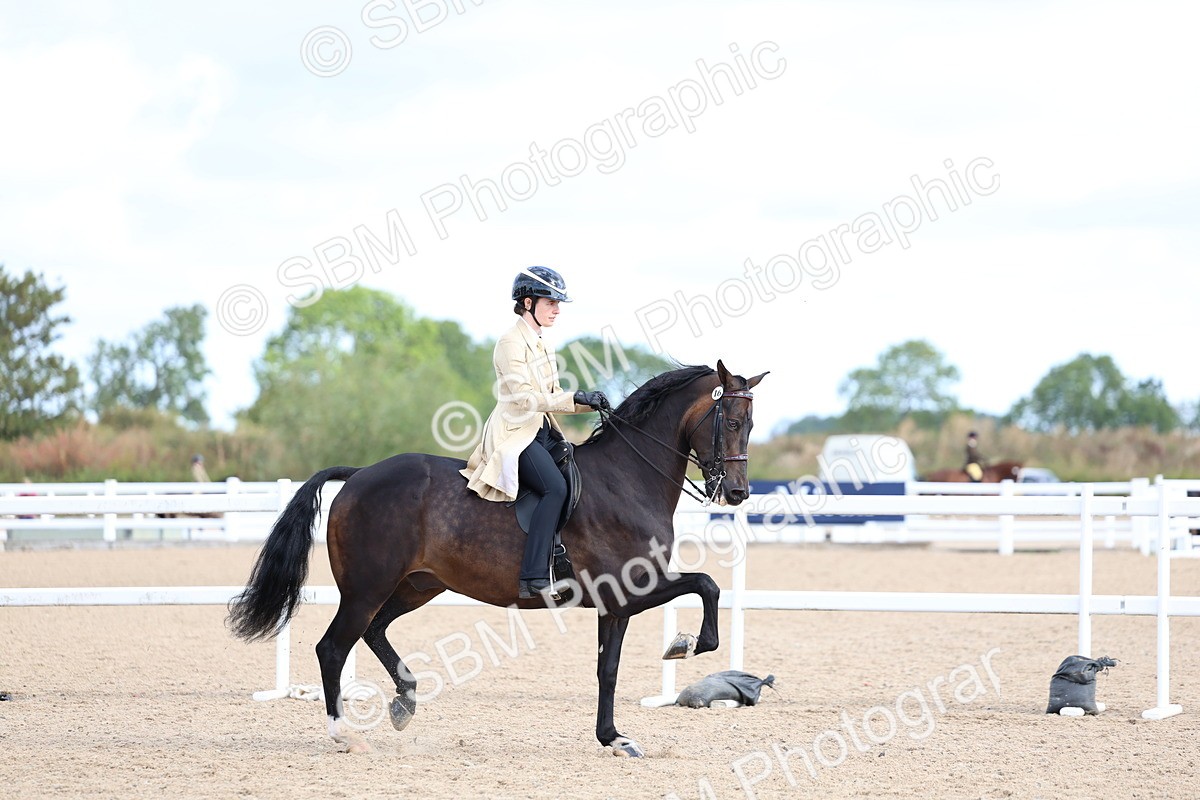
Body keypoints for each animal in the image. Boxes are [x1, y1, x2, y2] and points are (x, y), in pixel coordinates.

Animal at [227, 360, 768, 756]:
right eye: (731, 421)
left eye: (751, 425)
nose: (737, 493)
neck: (627, 478)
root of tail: (359, 475)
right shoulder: (626, 591)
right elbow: (706, 585)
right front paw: (686, 645)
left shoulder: (617, 605)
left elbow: (609, 668)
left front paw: (613, 738)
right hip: (367, 588)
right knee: (334, 647)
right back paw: (344, 733)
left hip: (417, 585)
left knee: (374, 631)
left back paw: (406, 701)